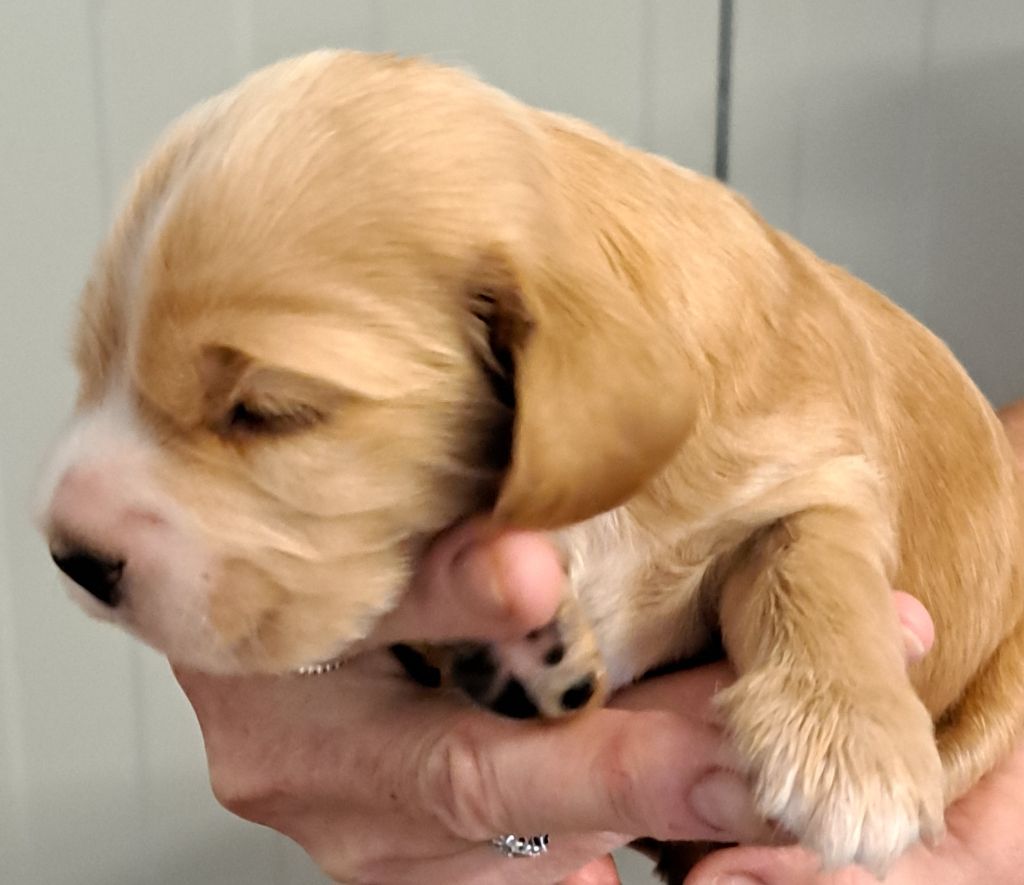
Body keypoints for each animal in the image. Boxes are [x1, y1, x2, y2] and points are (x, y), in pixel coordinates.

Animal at [38, 50, 1024, 878]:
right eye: (90, 369)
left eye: (268, 413)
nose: (68, 556)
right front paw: (517, 646)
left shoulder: (821, 467)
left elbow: (812, 557)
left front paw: (850, 746)